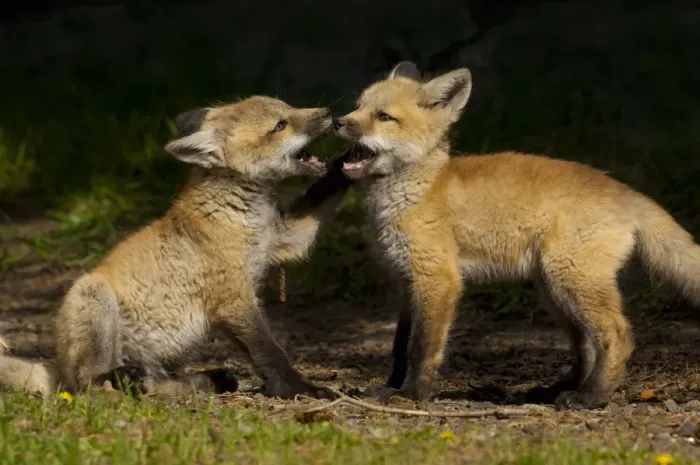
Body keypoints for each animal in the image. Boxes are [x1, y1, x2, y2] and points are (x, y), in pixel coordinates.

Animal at [0, 95, 351, 400]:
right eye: (280, 125)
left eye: (289, 107)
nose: (328, 113)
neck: (240, 214)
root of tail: (58, 365)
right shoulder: (234, 299)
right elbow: (270, 353)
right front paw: (300, 389)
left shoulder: (282, 240)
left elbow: (322, 192)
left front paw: (351, 161)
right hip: (94, 301)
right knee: (87, 385)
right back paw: (113, 380)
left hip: (159, 362)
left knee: (155, 384)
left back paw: (204, 380)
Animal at [332, 61, 700, 410]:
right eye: (358, 106)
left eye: (384, 116)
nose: (337, 122)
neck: (413, 192)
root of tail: (626, 190)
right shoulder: (406, 283)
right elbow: (399, 347)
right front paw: (390, 387)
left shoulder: (438, 279)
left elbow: (421, 347)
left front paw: (411, 394)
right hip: (554, 290)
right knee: (586, 345)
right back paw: (559, 389)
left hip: (570, 279)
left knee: (619, 335)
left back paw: (591, 397)